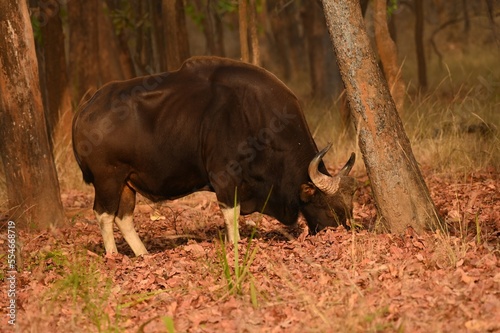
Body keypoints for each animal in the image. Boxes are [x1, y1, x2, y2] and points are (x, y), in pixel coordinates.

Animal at [72, 56, 358, 254]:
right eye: (330, 208)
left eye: (349, 208)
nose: (344, 235)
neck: (259, 120)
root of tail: (87, 108)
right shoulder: (225, 177)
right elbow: (232, 216)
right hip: (108, 178)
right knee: (104, 215)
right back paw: (113, 255)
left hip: (126, 182)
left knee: (123, 217)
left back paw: (143, 255)